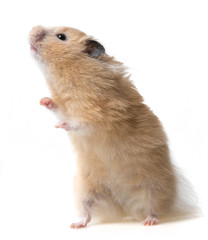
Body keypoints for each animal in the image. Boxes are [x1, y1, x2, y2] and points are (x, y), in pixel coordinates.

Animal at [28, 25, 177, 228]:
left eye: (61, 37)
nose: (32, 30)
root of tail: (125, 205)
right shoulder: (66, 107)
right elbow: (58, 108)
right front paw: (43, 101)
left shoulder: (100, 114)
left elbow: (80, 122)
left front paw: (60, 125)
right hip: (86, 187)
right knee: (87, 210)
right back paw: (76, 225)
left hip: (154, 185)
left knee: (155, 206)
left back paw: (149, 221)